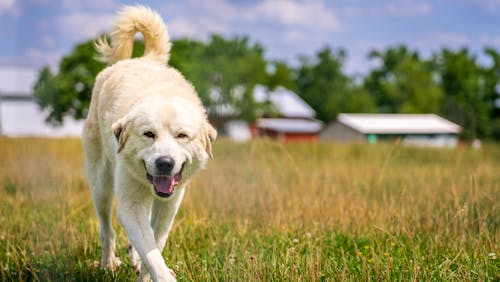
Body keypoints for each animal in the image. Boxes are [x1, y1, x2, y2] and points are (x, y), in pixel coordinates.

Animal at [81, 5, 215, 280]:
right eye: (149, 134)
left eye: (181, 135)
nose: (165, 163)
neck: (161, 92)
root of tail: (144, 60)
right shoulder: (131, 205)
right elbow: (151, 252)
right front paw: (159, 273)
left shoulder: (171, 202)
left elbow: (155, 243)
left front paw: (144, 270)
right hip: (101, 184)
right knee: (106, 228)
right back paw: (108, 263)